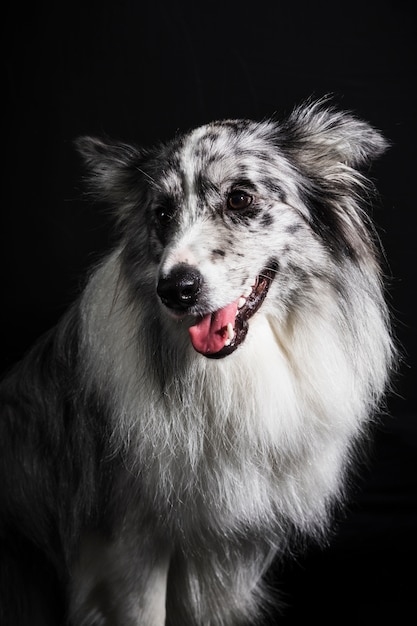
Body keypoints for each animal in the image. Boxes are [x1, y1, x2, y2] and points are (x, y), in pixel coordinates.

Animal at [0, 100, 394, 620]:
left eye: (240, 199)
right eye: (162, 213)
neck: (228, 371)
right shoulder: (125, 549)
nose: (175, 290)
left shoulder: (224, 552)